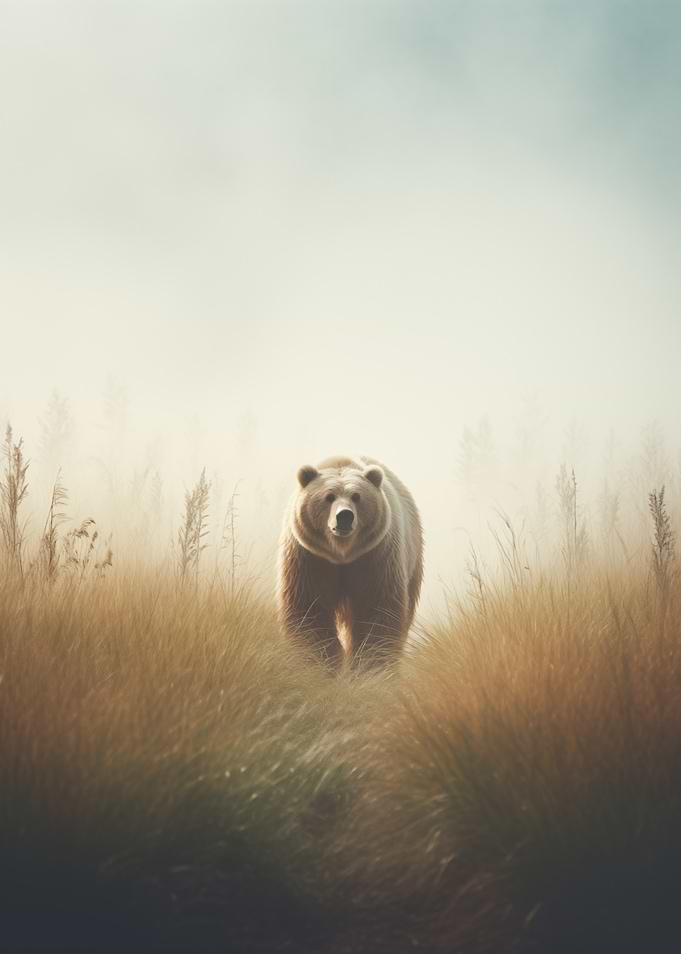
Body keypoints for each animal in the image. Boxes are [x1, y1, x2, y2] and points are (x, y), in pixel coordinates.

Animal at [277, 455, 424, 670]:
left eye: (356, 496)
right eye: (329, 496)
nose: (344, 516)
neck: (342, 553)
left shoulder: (375, 556)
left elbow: (376, 610)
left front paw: (371, 667)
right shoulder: (309, 558)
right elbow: (310, 611)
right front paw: (318, 665)